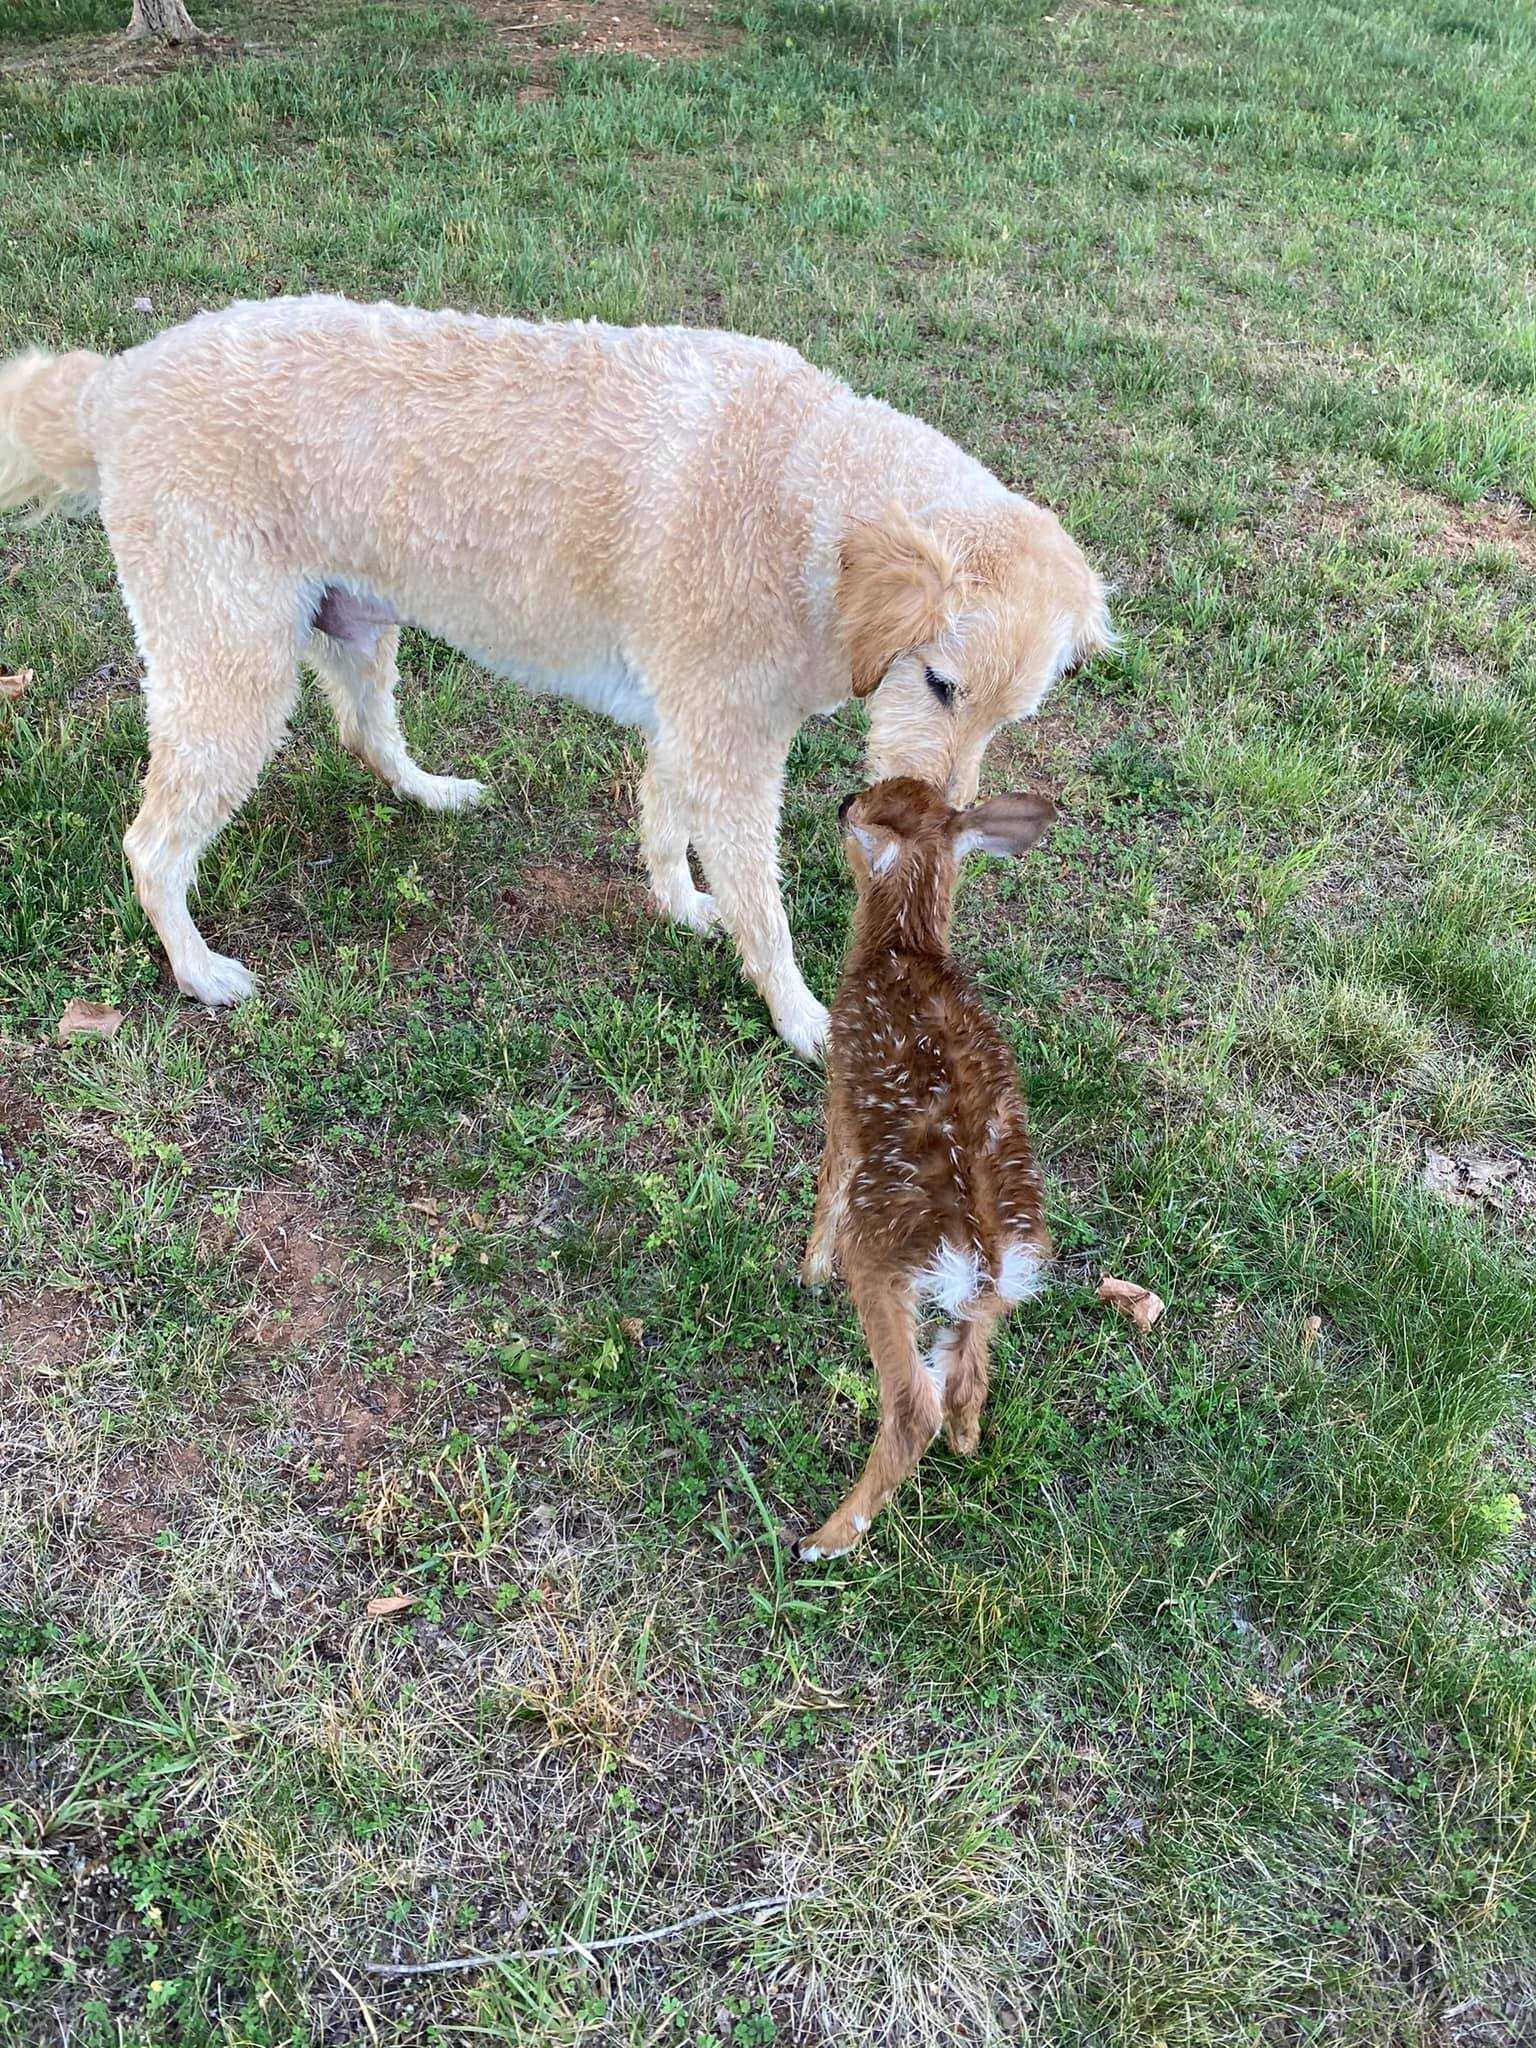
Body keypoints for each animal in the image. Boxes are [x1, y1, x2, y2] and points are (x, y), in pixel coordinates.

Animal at [0, 299, 1105, 1056]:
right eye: (940, 684)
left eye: (1009, 717)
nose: (947, 824)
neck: (811, 499)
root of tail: (117, 381)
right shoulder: (731, 750)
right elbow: (766, 906)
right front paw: (801, 1017)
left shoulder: (689, 727)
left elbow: (664, 823)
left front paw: (680, 906)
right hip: (231, 674)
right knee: (150, 845)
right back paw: (197, 970)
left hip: (352, 623)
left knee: (365, 733)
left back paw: (433, 791)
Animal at [794, 774, 1056, 1556]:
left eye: (867, 808)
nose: (842, 801)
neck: (905, 946)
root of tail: (985, 1255)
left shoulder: (842, 1095)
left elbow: (828, 1184)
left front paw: (806, 1273)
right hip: (985, 1299)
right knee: (966, 1382)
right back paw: (968, 1443)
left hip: (883, 1259)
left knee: (915, 1406)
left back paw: (823, 1538)